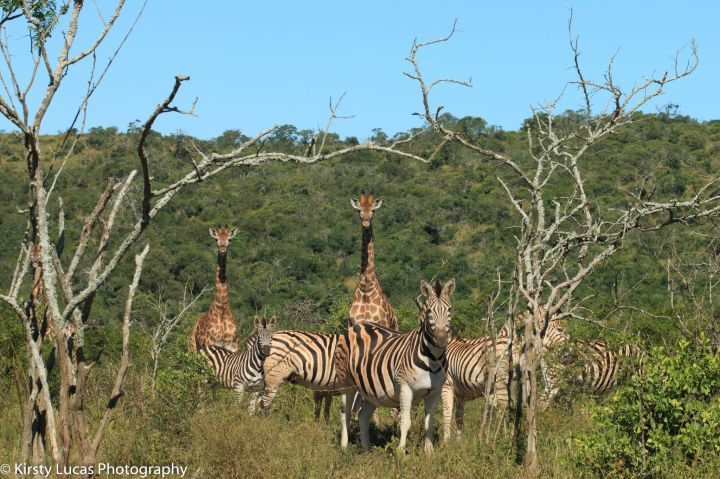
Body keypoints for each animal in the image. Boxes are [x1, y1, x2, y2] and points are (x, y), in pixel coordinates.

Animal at [336, 277, 455, 454]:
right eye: (429, 311)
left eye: (449, 309)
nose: (441, 340)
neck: (433, 359)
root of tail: (358, 325)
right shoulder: (405, 388)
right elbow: (405, 422)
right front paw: (401, 452)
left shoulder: (435, 392)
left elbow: (429, 423)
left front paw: (429, 452)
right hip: (347, 384)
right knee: (345, 414)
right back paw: (344, 447)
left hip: (371, 389)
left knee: (363, 415)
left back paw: (367, 448)